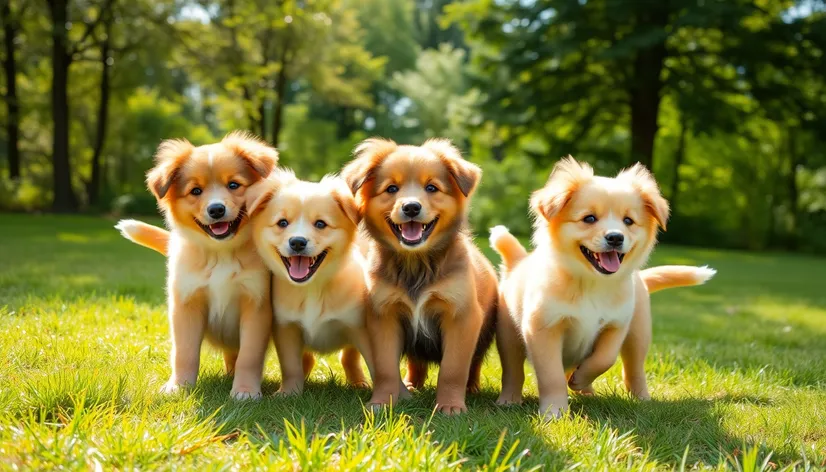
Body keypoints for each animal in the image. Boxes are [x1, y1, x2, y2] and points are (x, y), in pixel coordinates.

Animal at [114, 132, 276, 398]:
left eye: (234, 185)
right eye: (195, 191)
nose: (216, 209)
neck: (220, 253)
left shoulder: (256, 304)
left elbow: (250, 356)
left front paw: (245, 391)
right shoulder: (187, 303)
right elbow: (185, 353)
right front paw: (179, 387)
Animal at [342, 138, 496, 414]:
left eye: (431, 187)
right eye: (391, 188)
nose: (411, 207)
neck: (416, 265)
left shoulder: (462, 317)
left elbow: (453, 369)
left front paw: (451, 406)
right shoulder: (384, 316)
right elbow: (385, 368)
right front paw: (382, 401)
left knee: (474, 363)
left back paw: (471, 388)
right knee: (417, 363)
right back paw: (412, 384)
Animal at [490, 157, 716, 418]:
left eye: (628, 221)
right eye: (589, 218)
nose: (616, 237)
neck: (591, 284)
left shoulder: (616, 325)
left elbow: (603, 359)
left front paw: (579, 380)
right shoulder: (544, 328)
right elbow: (551, 376)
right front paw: (555, 412)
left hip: (639, 333)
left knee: (634, 368)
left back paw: (634, 398)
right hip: (508, 335)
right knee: (513, 371)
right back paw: (509, 400)